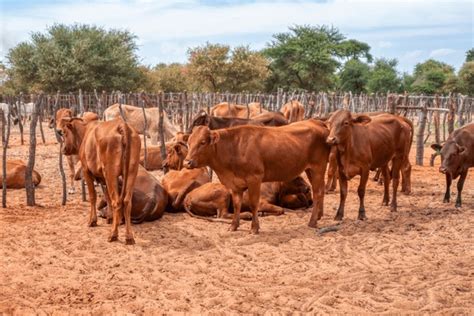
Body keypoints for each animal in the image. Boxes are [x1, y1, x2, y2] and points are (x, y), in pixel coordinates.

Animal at [59, 116, 141, 244]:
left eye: (64, 132)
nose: (63, 149)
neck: (86, 132)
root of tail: (122, 125)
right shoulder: (104, 178)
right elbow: (107, 196)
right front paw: (110, 218)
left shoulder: (86, 171)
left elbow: (93, 196)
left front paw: (92, 221)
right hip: (132, 172)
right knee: (127, 201)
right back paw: (129, 237)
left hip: (111, 173)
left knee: (117, 201)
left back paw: (113, 234)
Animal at [182, 119, 330, 233]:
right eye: (189, 142)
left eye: (202, 142)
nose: (186, 162)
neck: (235, 148)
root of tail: (316, 121)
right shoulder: (236, 185)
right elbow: (237, 204)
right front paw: (234, 226)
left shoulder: (254, 179)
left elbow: (254, 204)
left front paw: (254, 228)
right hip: (310, 169)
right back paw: (318, 216)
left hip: (319, 167)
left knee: (318, 192)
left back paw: (312, 222)